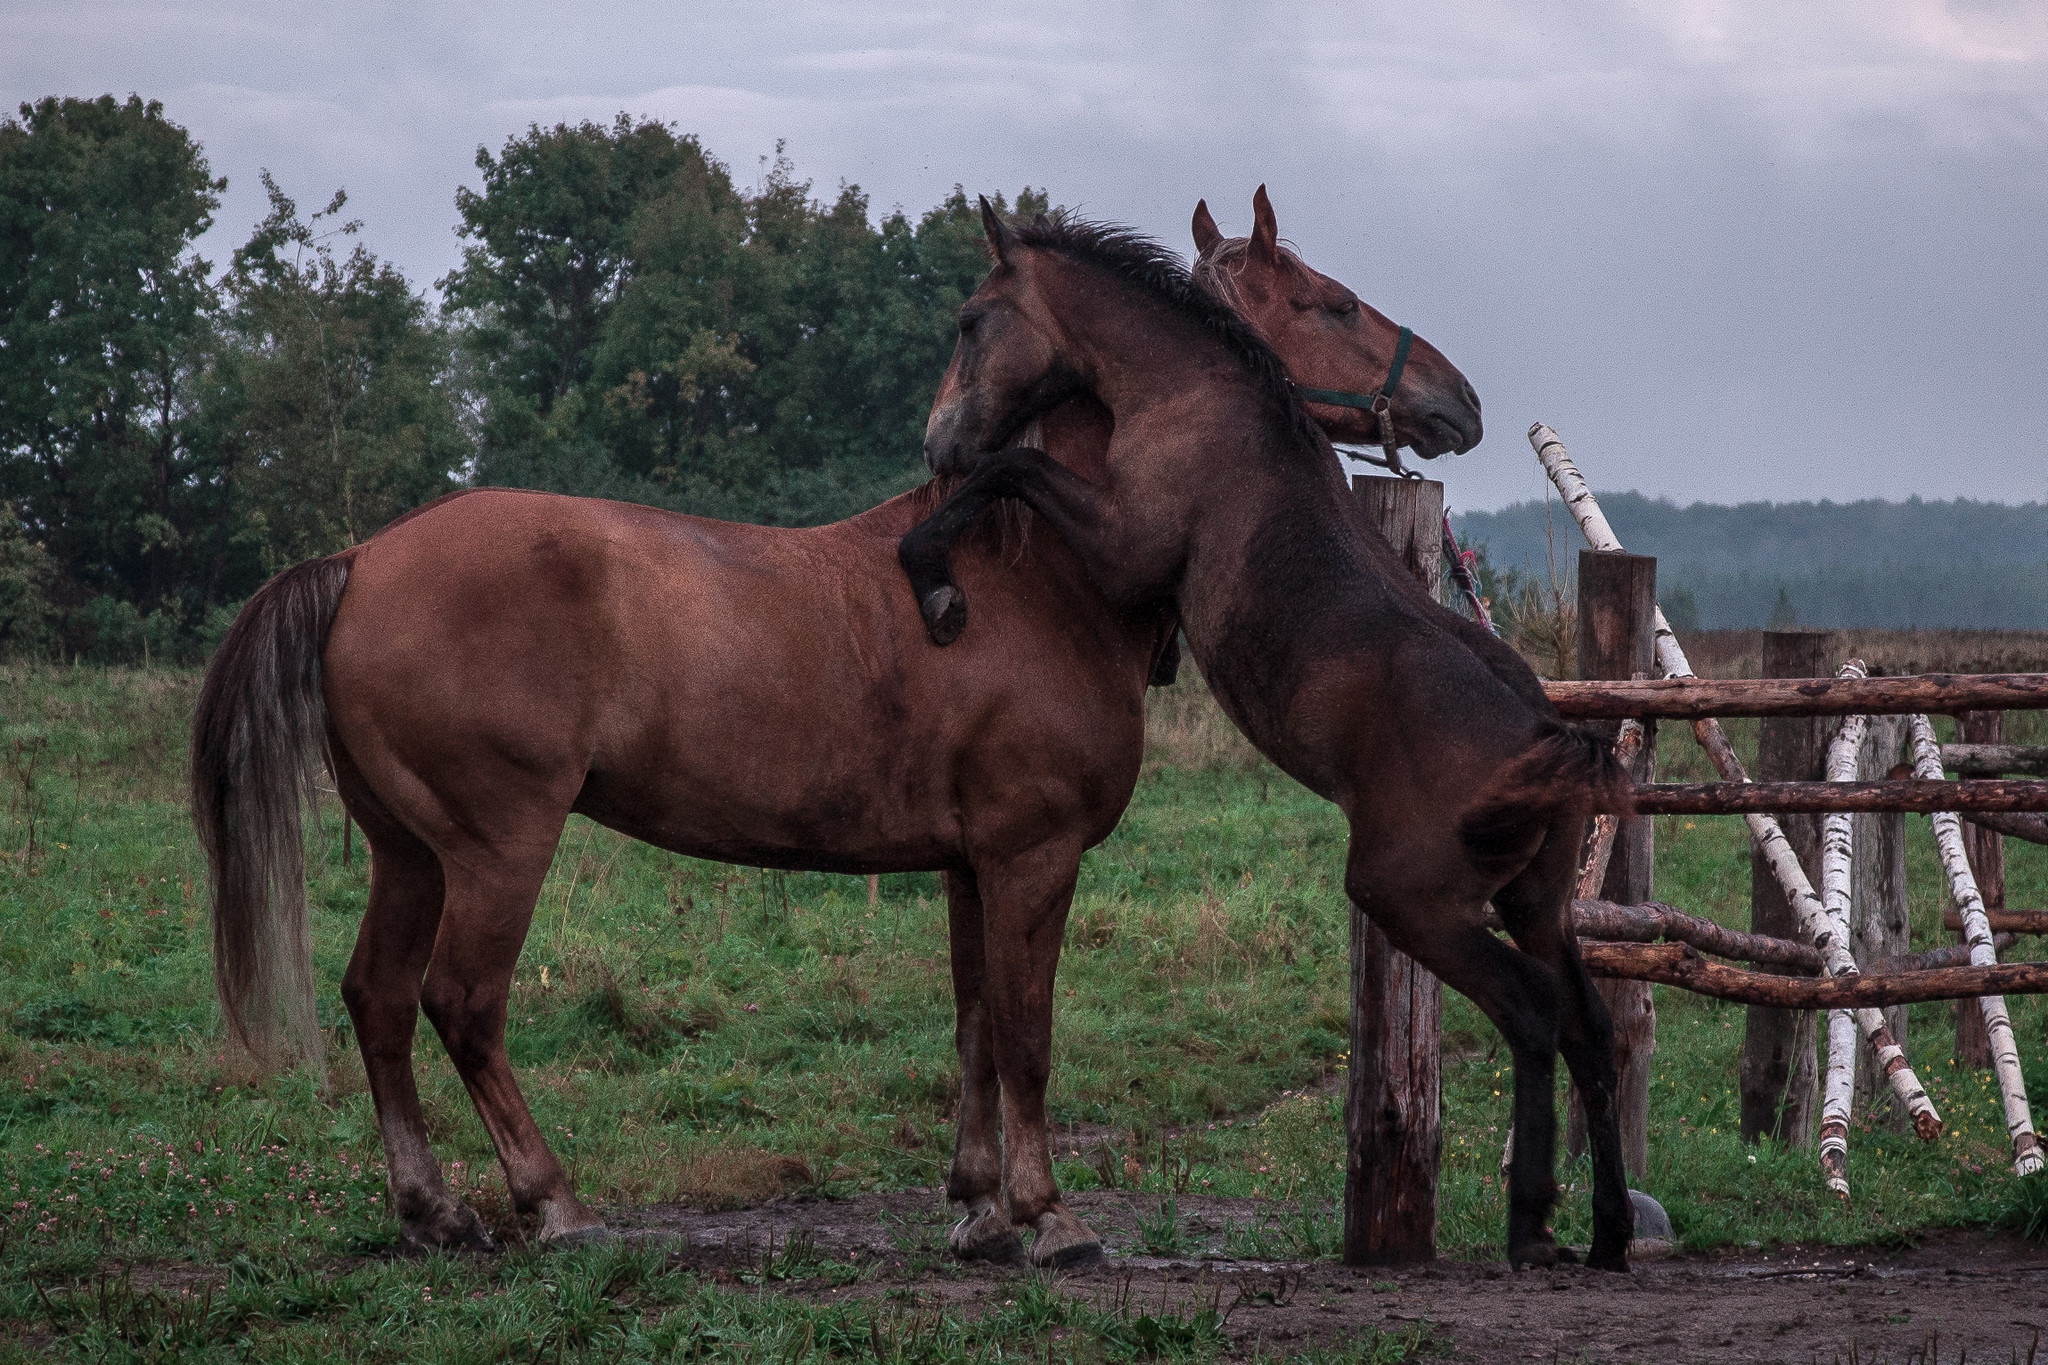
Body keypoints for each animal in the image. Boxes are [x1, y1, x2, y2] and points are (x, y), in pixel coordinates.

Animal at [188, 192, 1474, 1268]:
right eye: (1326, 300)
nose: (1455, 399)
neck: (1028, 566)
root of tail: (359, 560)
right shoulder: (1031, 855)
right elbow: (1027, 1032)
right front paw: (1046, 1216)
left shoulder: (968, 863)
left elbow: (972, 1023)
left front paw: (977, 1209)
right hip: (497, 847)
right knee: (461, 1002)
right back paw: (550, 1203)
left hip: (409, 851)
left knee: (376, 998)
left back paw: (433, 1210)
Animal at [905, 208, 1638, 1277]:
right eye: (1333, 301)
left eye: (970, 320)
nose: (940, 439)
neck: (1202, 392)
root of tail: (1549, 737)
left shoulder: (1124, 544)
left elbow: (1016, 469)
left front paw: (930, 571)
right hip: (1536, 901)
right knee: (1590, 1029)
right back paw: (1610, 1232)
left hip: (1416, 901)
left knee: (1534, 1013)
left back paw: (1533, 1223)